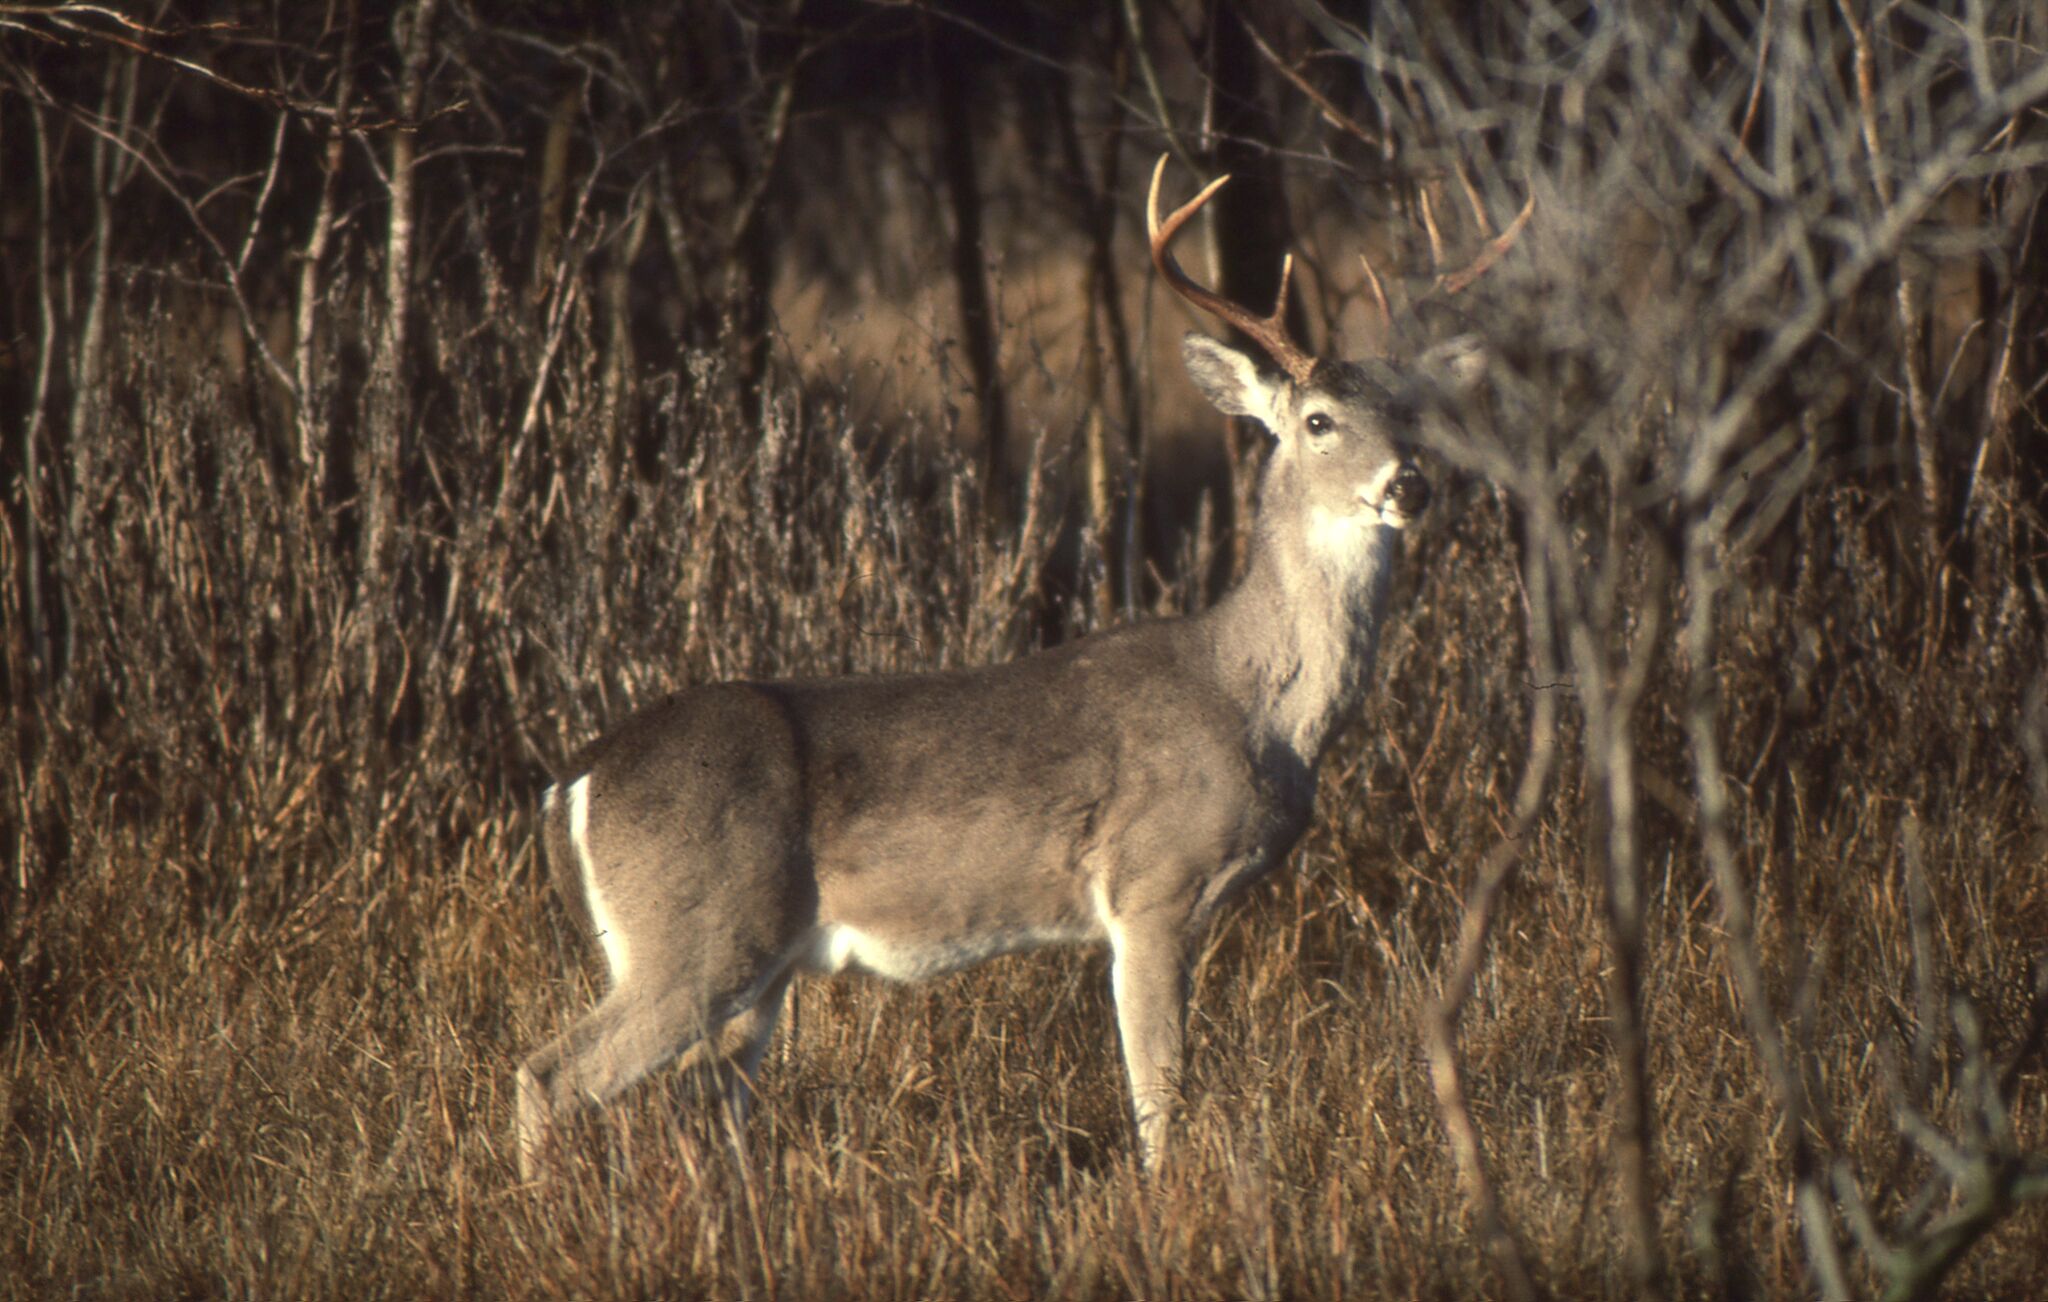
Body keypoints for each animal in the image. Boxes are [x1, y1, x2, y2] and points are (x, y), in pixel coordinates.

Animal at [520, 155, 1499, 1179]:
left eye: (1415, 418)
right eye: (1317, 420)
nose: (1409, 484)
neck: (1251, 703)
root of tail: (572, 784)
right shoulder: (1151, 886)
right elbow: (1160, 1097)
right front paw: (1165, 1203)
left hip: (748, 962)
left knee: (700, 1104)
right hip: (698, 935)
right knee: (551, 1073)